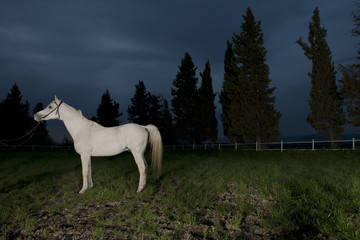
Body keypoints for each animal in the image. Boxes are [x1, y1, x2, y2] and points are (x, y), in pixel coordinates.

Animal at [33, 95, 163, 193]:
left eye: (50, 106)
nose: (35, 116)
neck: (81, 130)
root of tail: (143, 126)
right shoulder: (88, 156)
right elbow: (89, 170)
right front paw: (90, 187)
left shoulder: (84, 155)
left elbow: (84, 171)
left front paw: (82, 190)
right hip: (140, 153)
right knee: (145, 166)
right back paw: (143, 187)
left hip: (136, 153)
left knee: (141, 167)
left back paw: (139, 190)